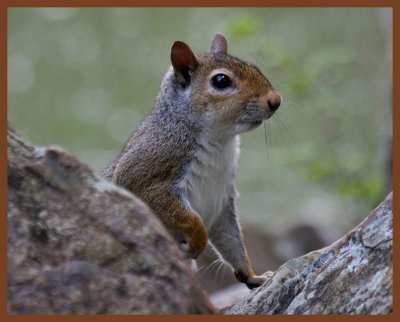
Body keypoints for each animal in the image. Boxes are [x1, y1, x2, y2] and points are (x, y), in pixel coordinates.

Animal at [102, 33, 282, 290]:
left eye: (255, 67)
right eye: (221, 80)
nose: (275, 100)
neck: (220, 141)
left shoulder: (221, 201)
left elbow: (232, 241)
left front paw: (252, 276)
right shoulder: (147, 171)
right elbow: (183, 216)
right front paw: (197, 240)